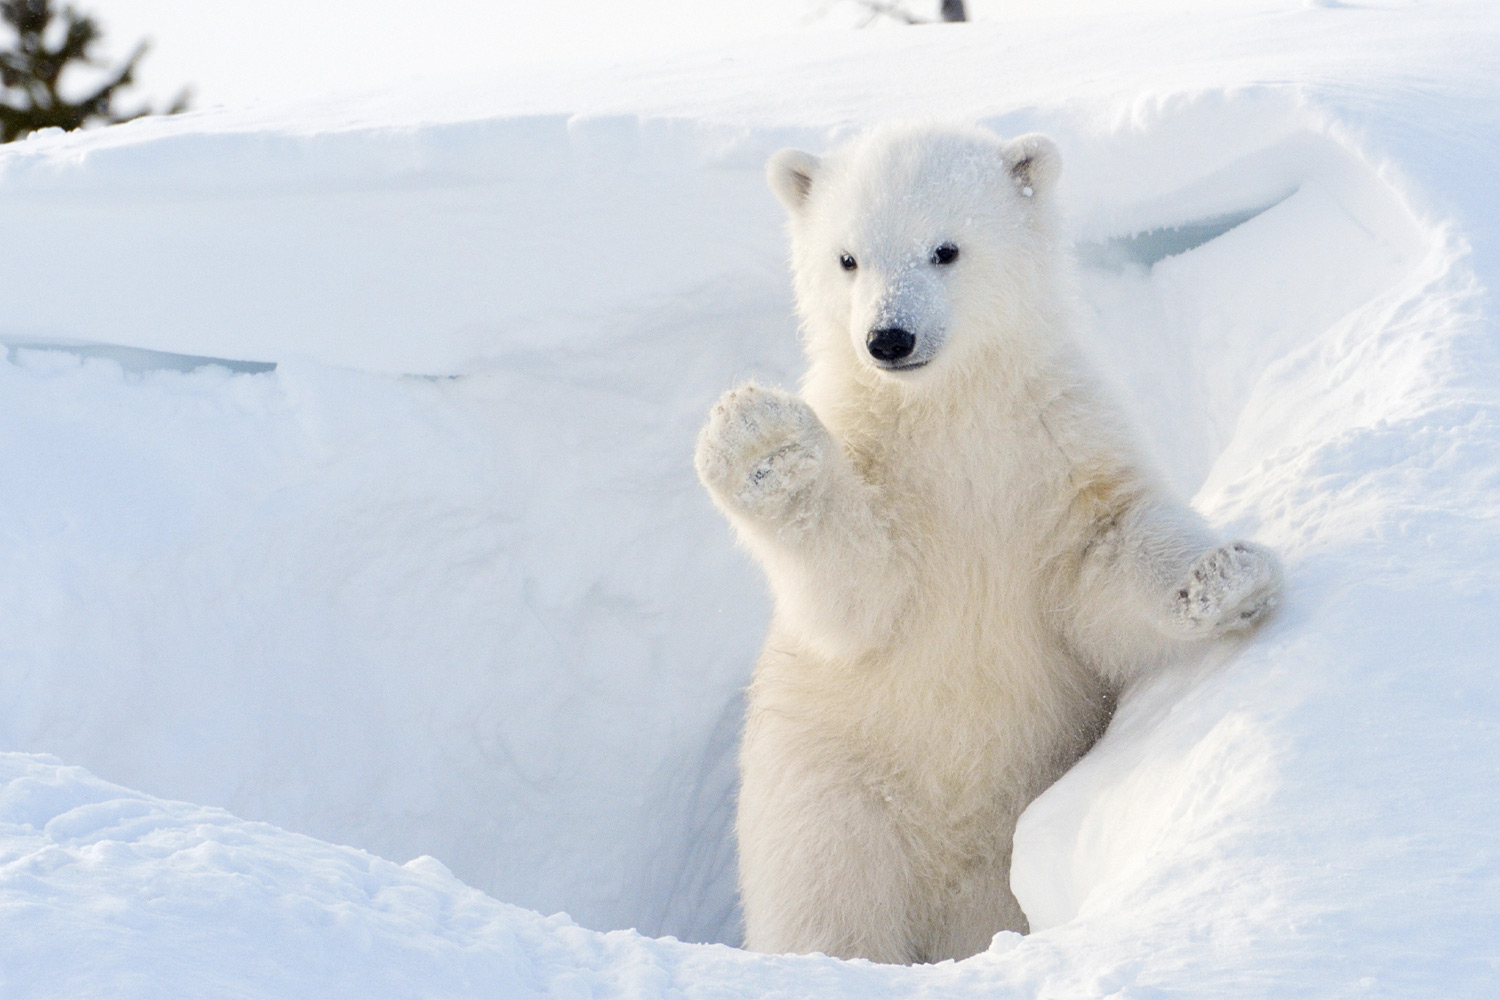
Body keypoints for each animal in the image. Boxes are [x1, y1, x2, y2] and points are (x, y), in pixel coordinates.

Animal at [696, 121, 1284, 965]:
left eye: (945, 248)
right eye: (847, 258)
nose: (888, 337)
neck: (949, 411)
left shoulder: (1056, 445)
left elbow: (1104, 556)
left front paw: (1226, 576)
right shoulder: (881, 468)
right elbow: (858, 593)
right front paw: (760, 443)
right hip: (830, 792)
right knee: (829, 902)